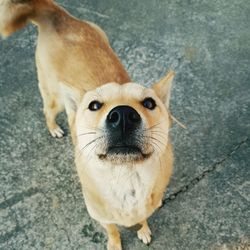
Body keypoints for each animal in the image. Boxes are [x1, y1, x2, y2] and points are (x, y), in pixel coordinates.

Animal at [0, 0, 174, 249]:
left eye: (149, 103)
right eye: (94, 105)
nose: (123, 115)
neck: (125, 179)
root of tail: (57, 15)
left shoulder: (147, 205)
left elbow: (143, 217)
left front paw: (144, 229)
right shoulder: (100, 216)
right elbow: (112, 230)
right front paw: (115, 243)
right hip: (55, 99)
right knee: (47, 112)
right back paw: (54, 128)